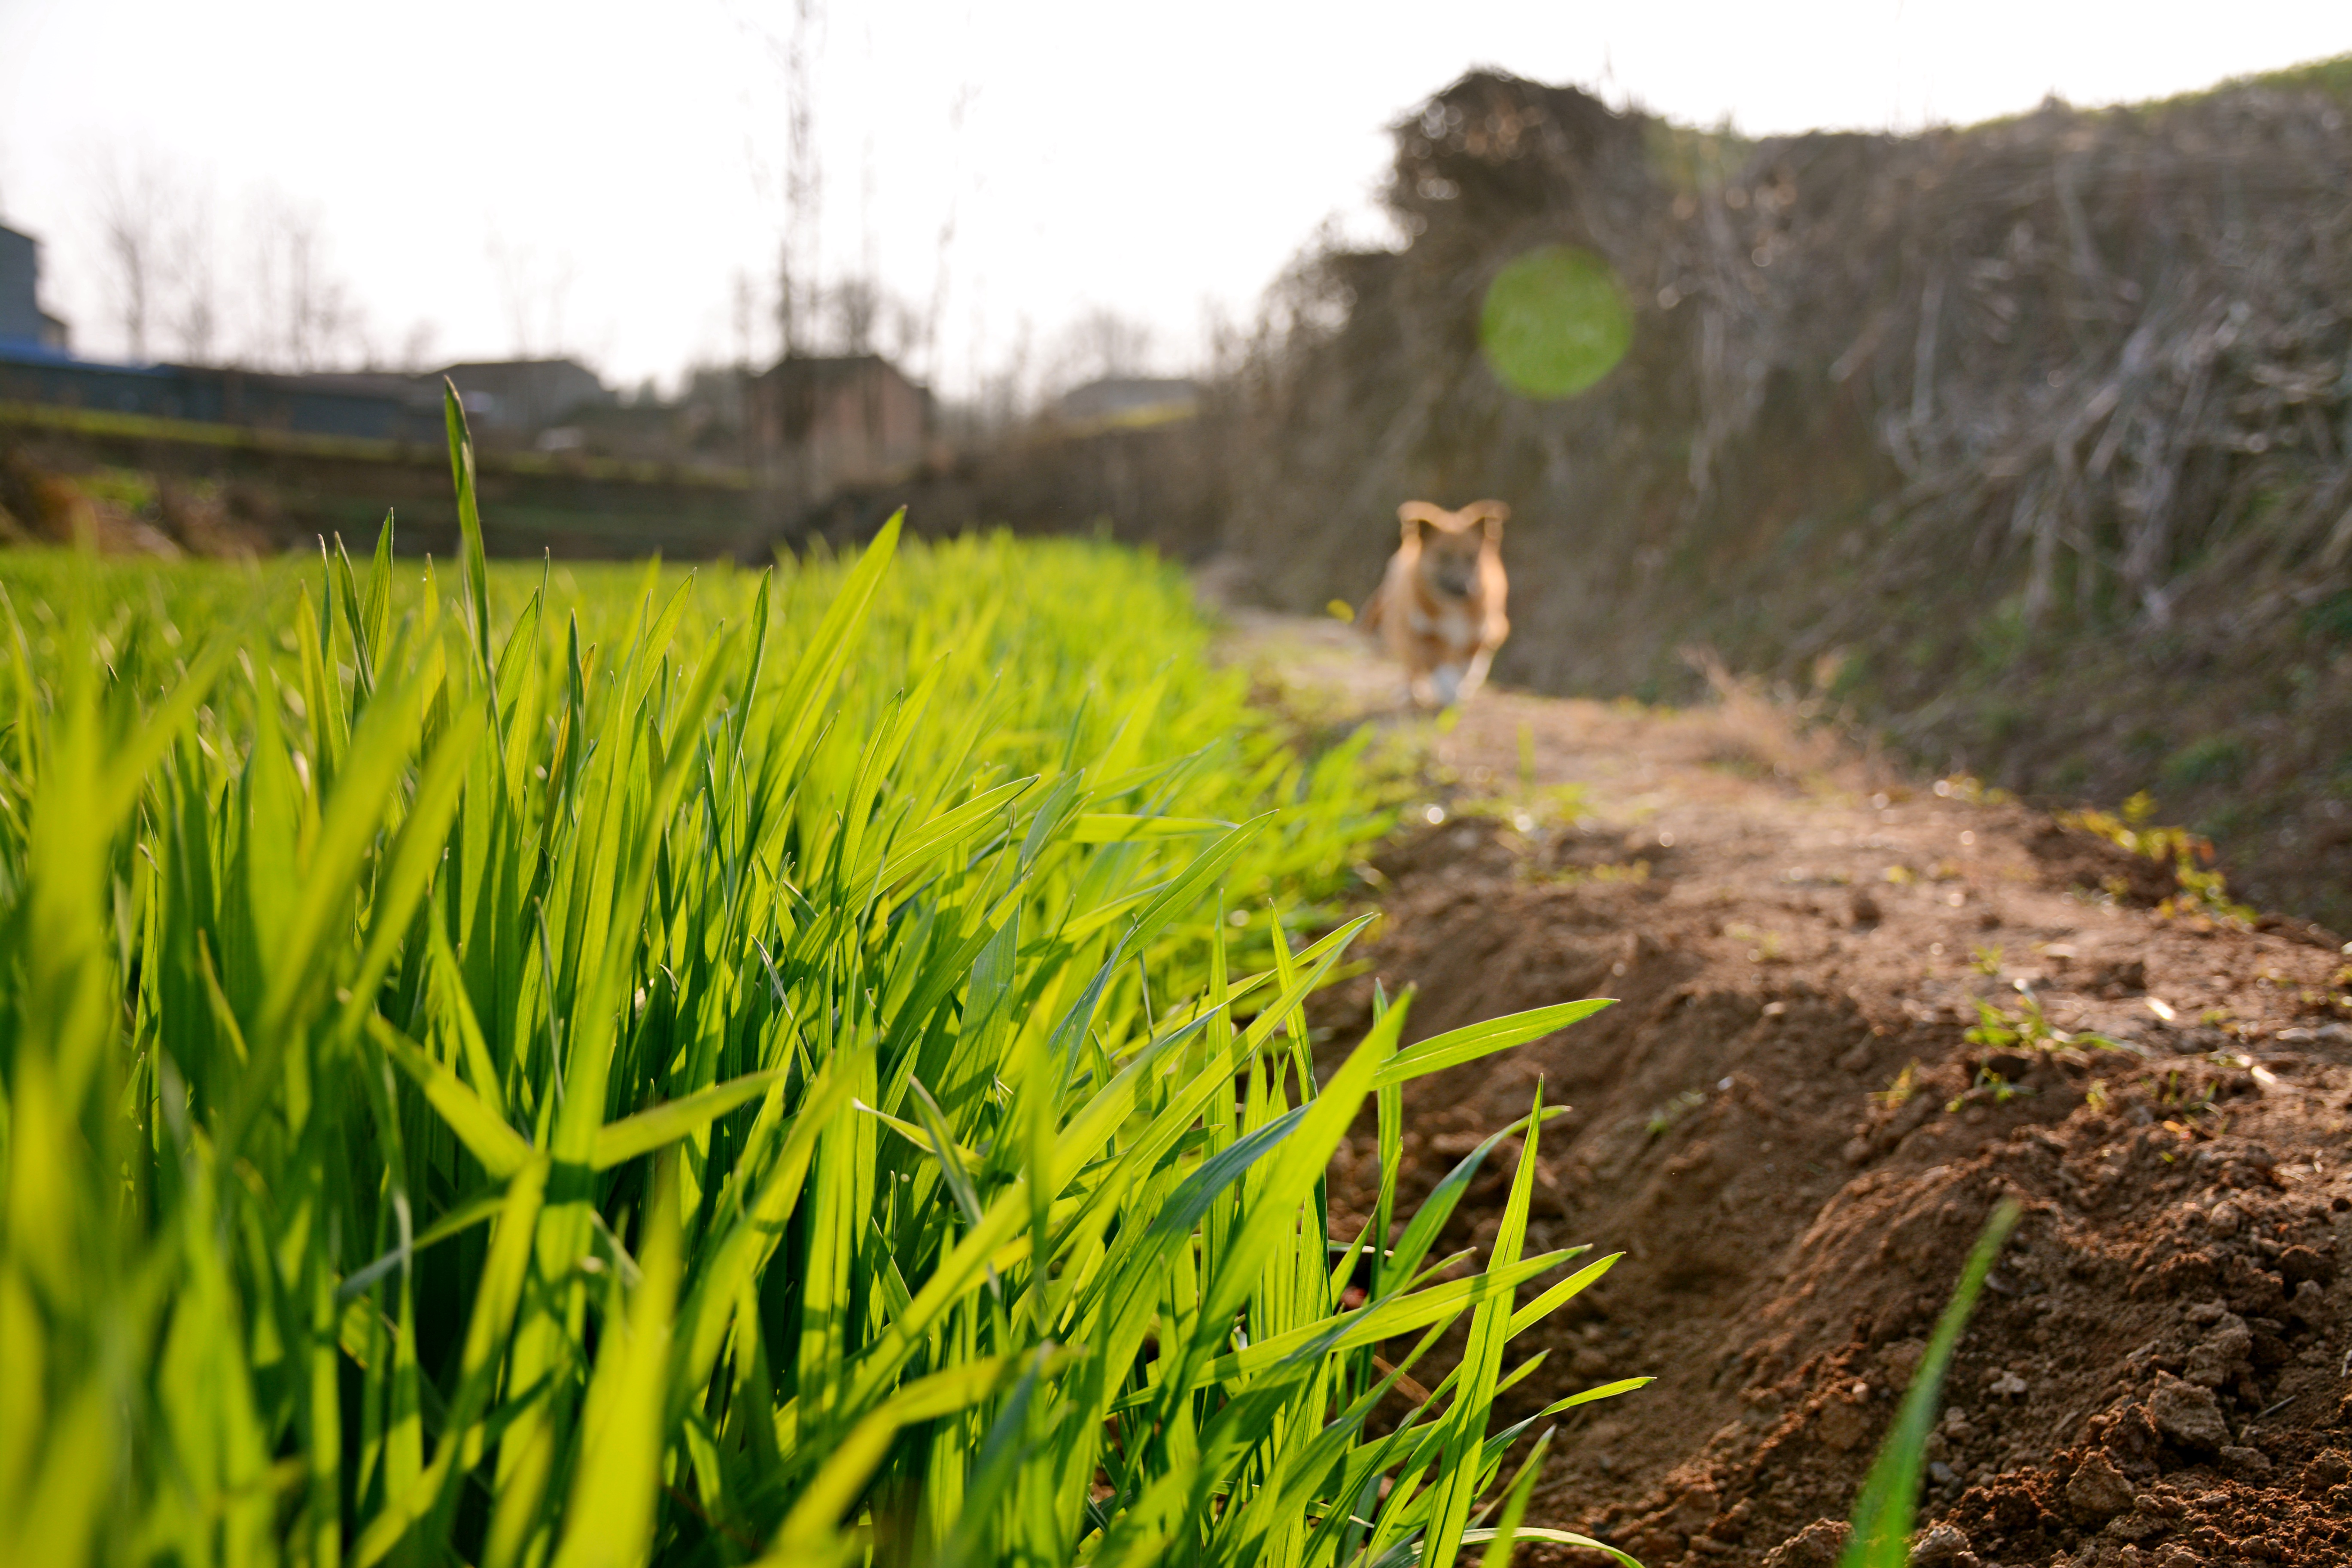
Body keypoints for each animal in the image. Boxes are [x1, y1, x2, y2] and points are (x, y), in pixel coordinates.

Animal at [1354, 500, 1515, 710]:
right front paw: (1446, 695)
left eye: (1471, 557)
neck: (1453, 608)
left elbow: (1464, 669)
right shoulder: (1427, 635)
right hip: (1402, 633)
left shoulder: (1476, 635)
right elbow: (1440, 670)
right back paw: (1412, 693)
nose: (1463, 588)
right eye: (1443, 556)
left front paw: (1458, 692)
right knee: (1413, 668)